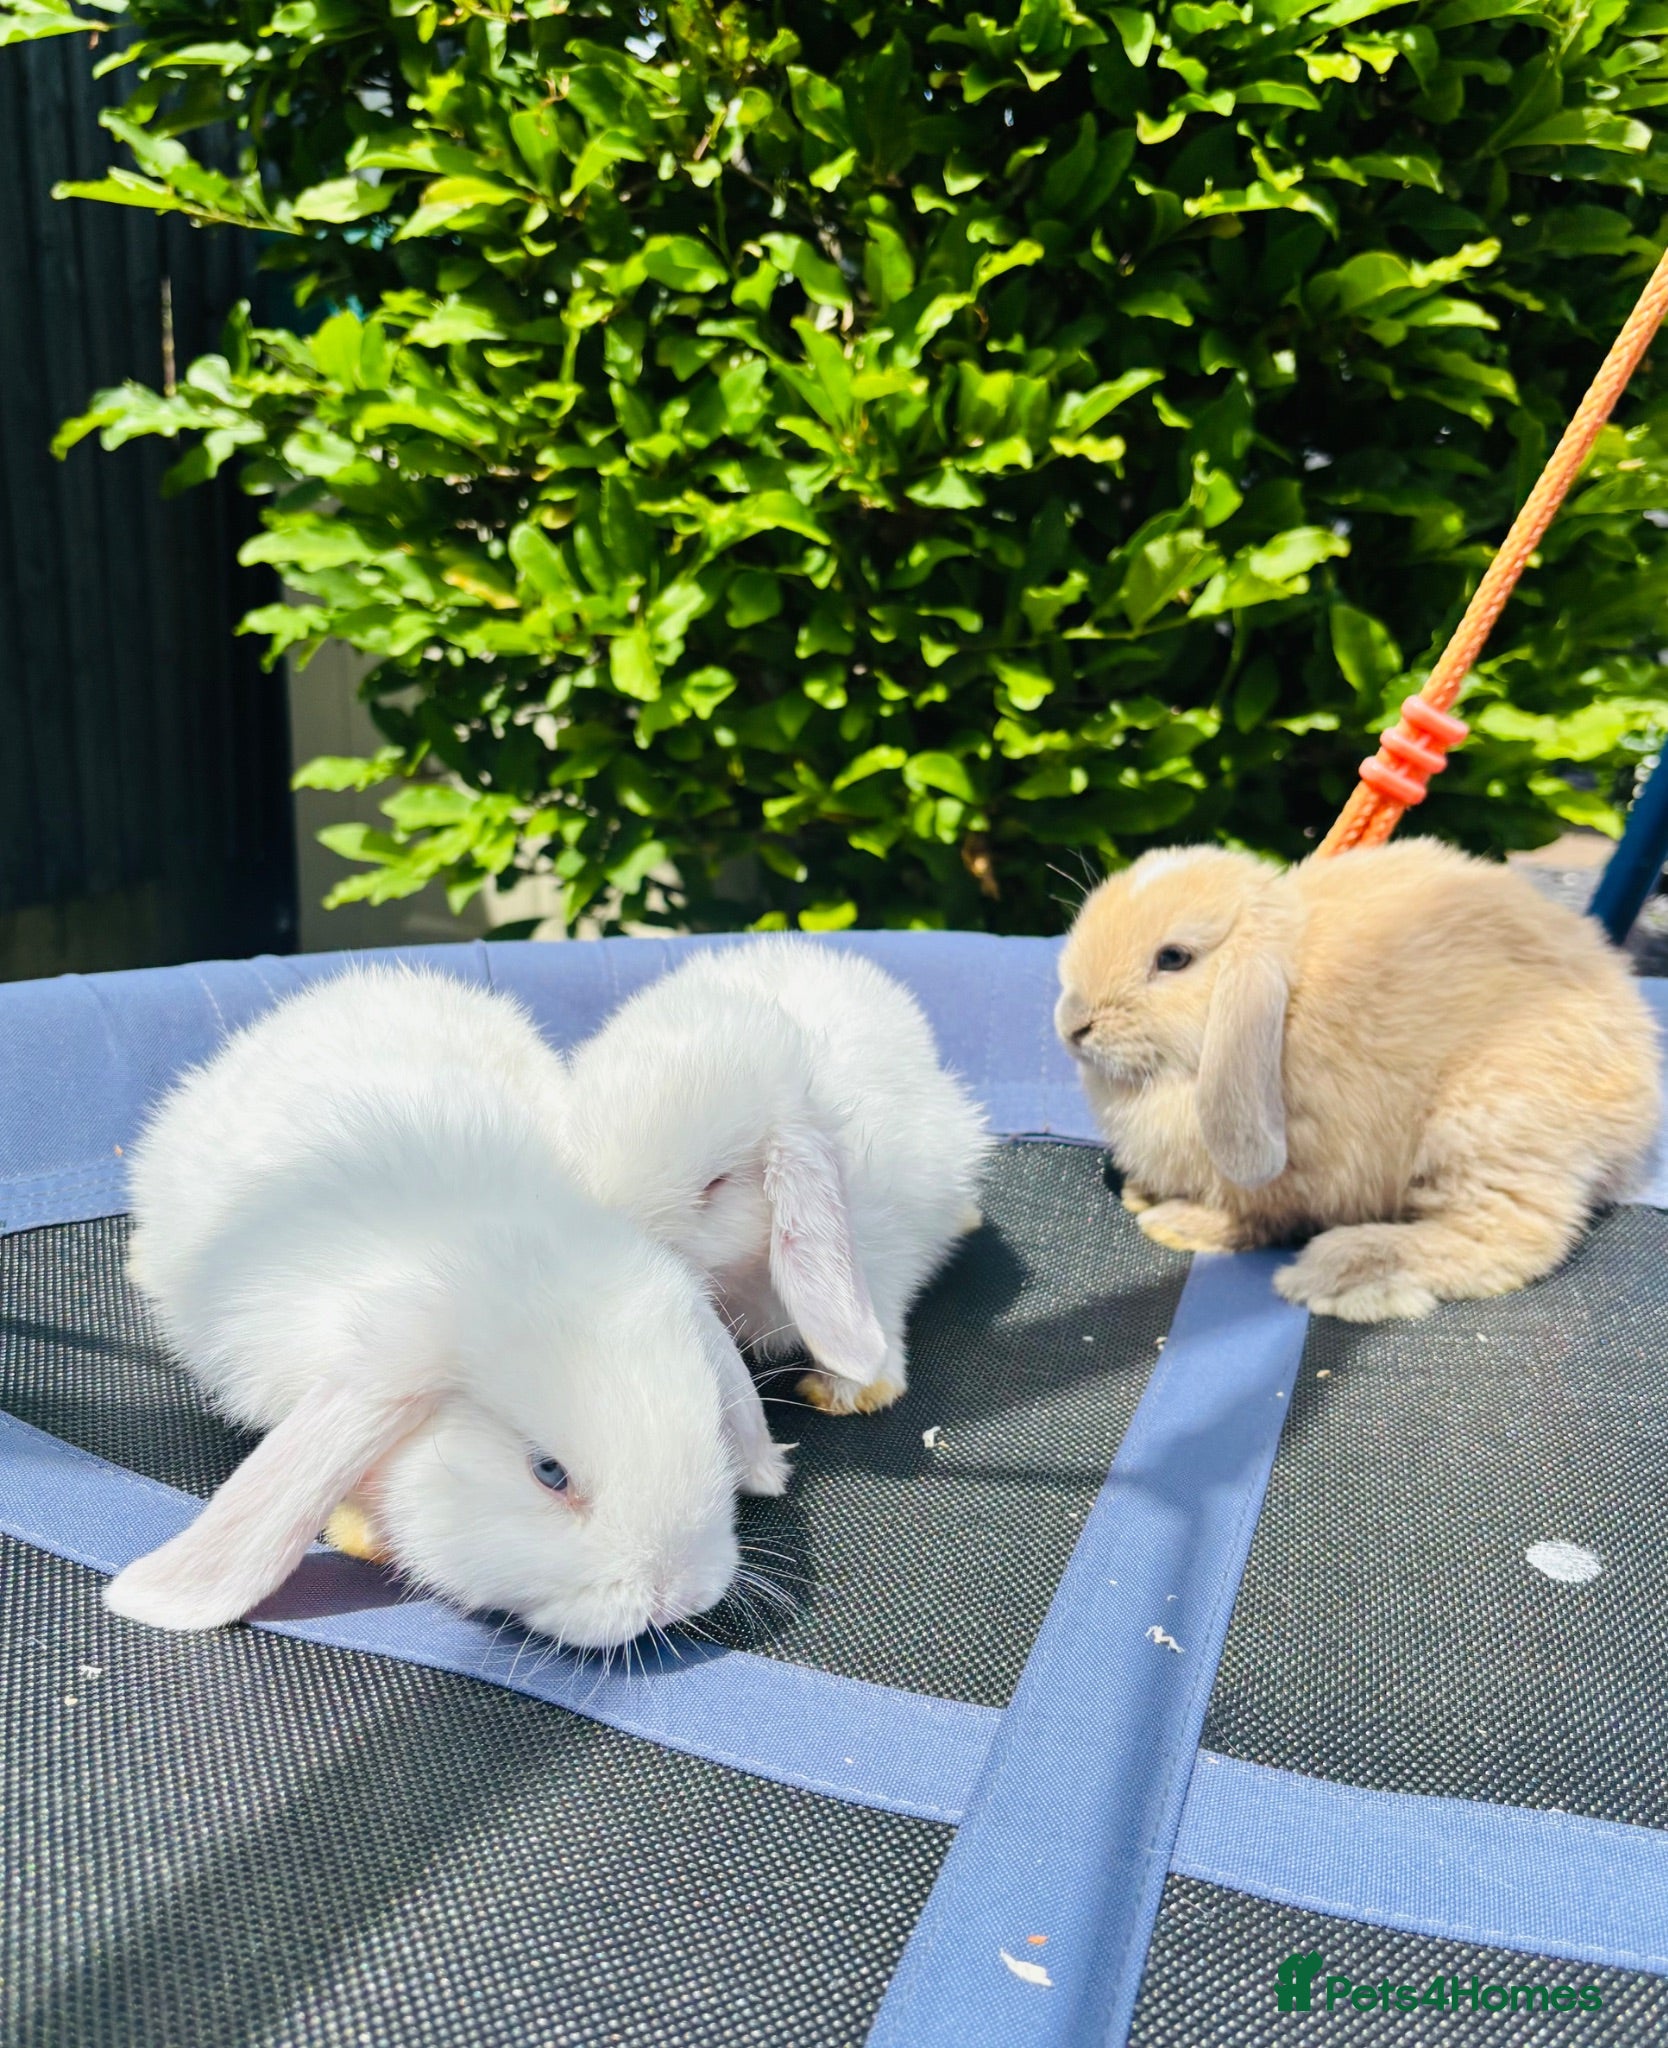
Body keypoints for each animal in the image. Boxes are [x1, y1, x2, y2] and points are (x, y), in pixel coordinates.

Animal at [1054, 839, 1663, 1322]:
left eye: (1174, 958)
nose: (1073, 1025)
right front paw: (1143, 1193)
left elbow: (1251, 1216)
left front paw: (1177, 1224)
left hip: (1485, 1125)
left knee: (1517, 1236)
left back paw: (1343, 1270)